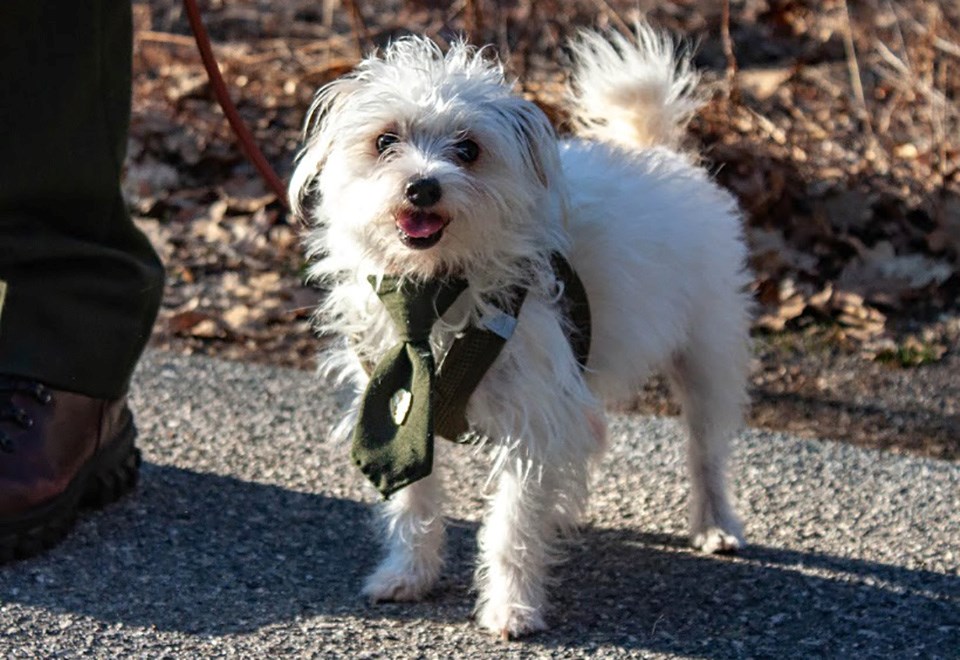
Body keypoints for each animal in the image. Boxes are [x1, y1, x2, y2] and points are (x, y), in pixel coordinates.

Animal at [288, 23, 752, 636]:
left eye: (468, 149)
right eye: (385, 140)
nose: (422, 187)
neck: (437, 289)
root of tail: (657, 151)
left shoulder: (533, 419)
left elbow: (512, 524)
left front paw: (511, 607)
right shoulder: (402, 402)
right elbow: (413, 502)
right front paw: (407, 576)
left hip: (706, 356)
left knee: (706, 450)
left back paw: (714, 523)